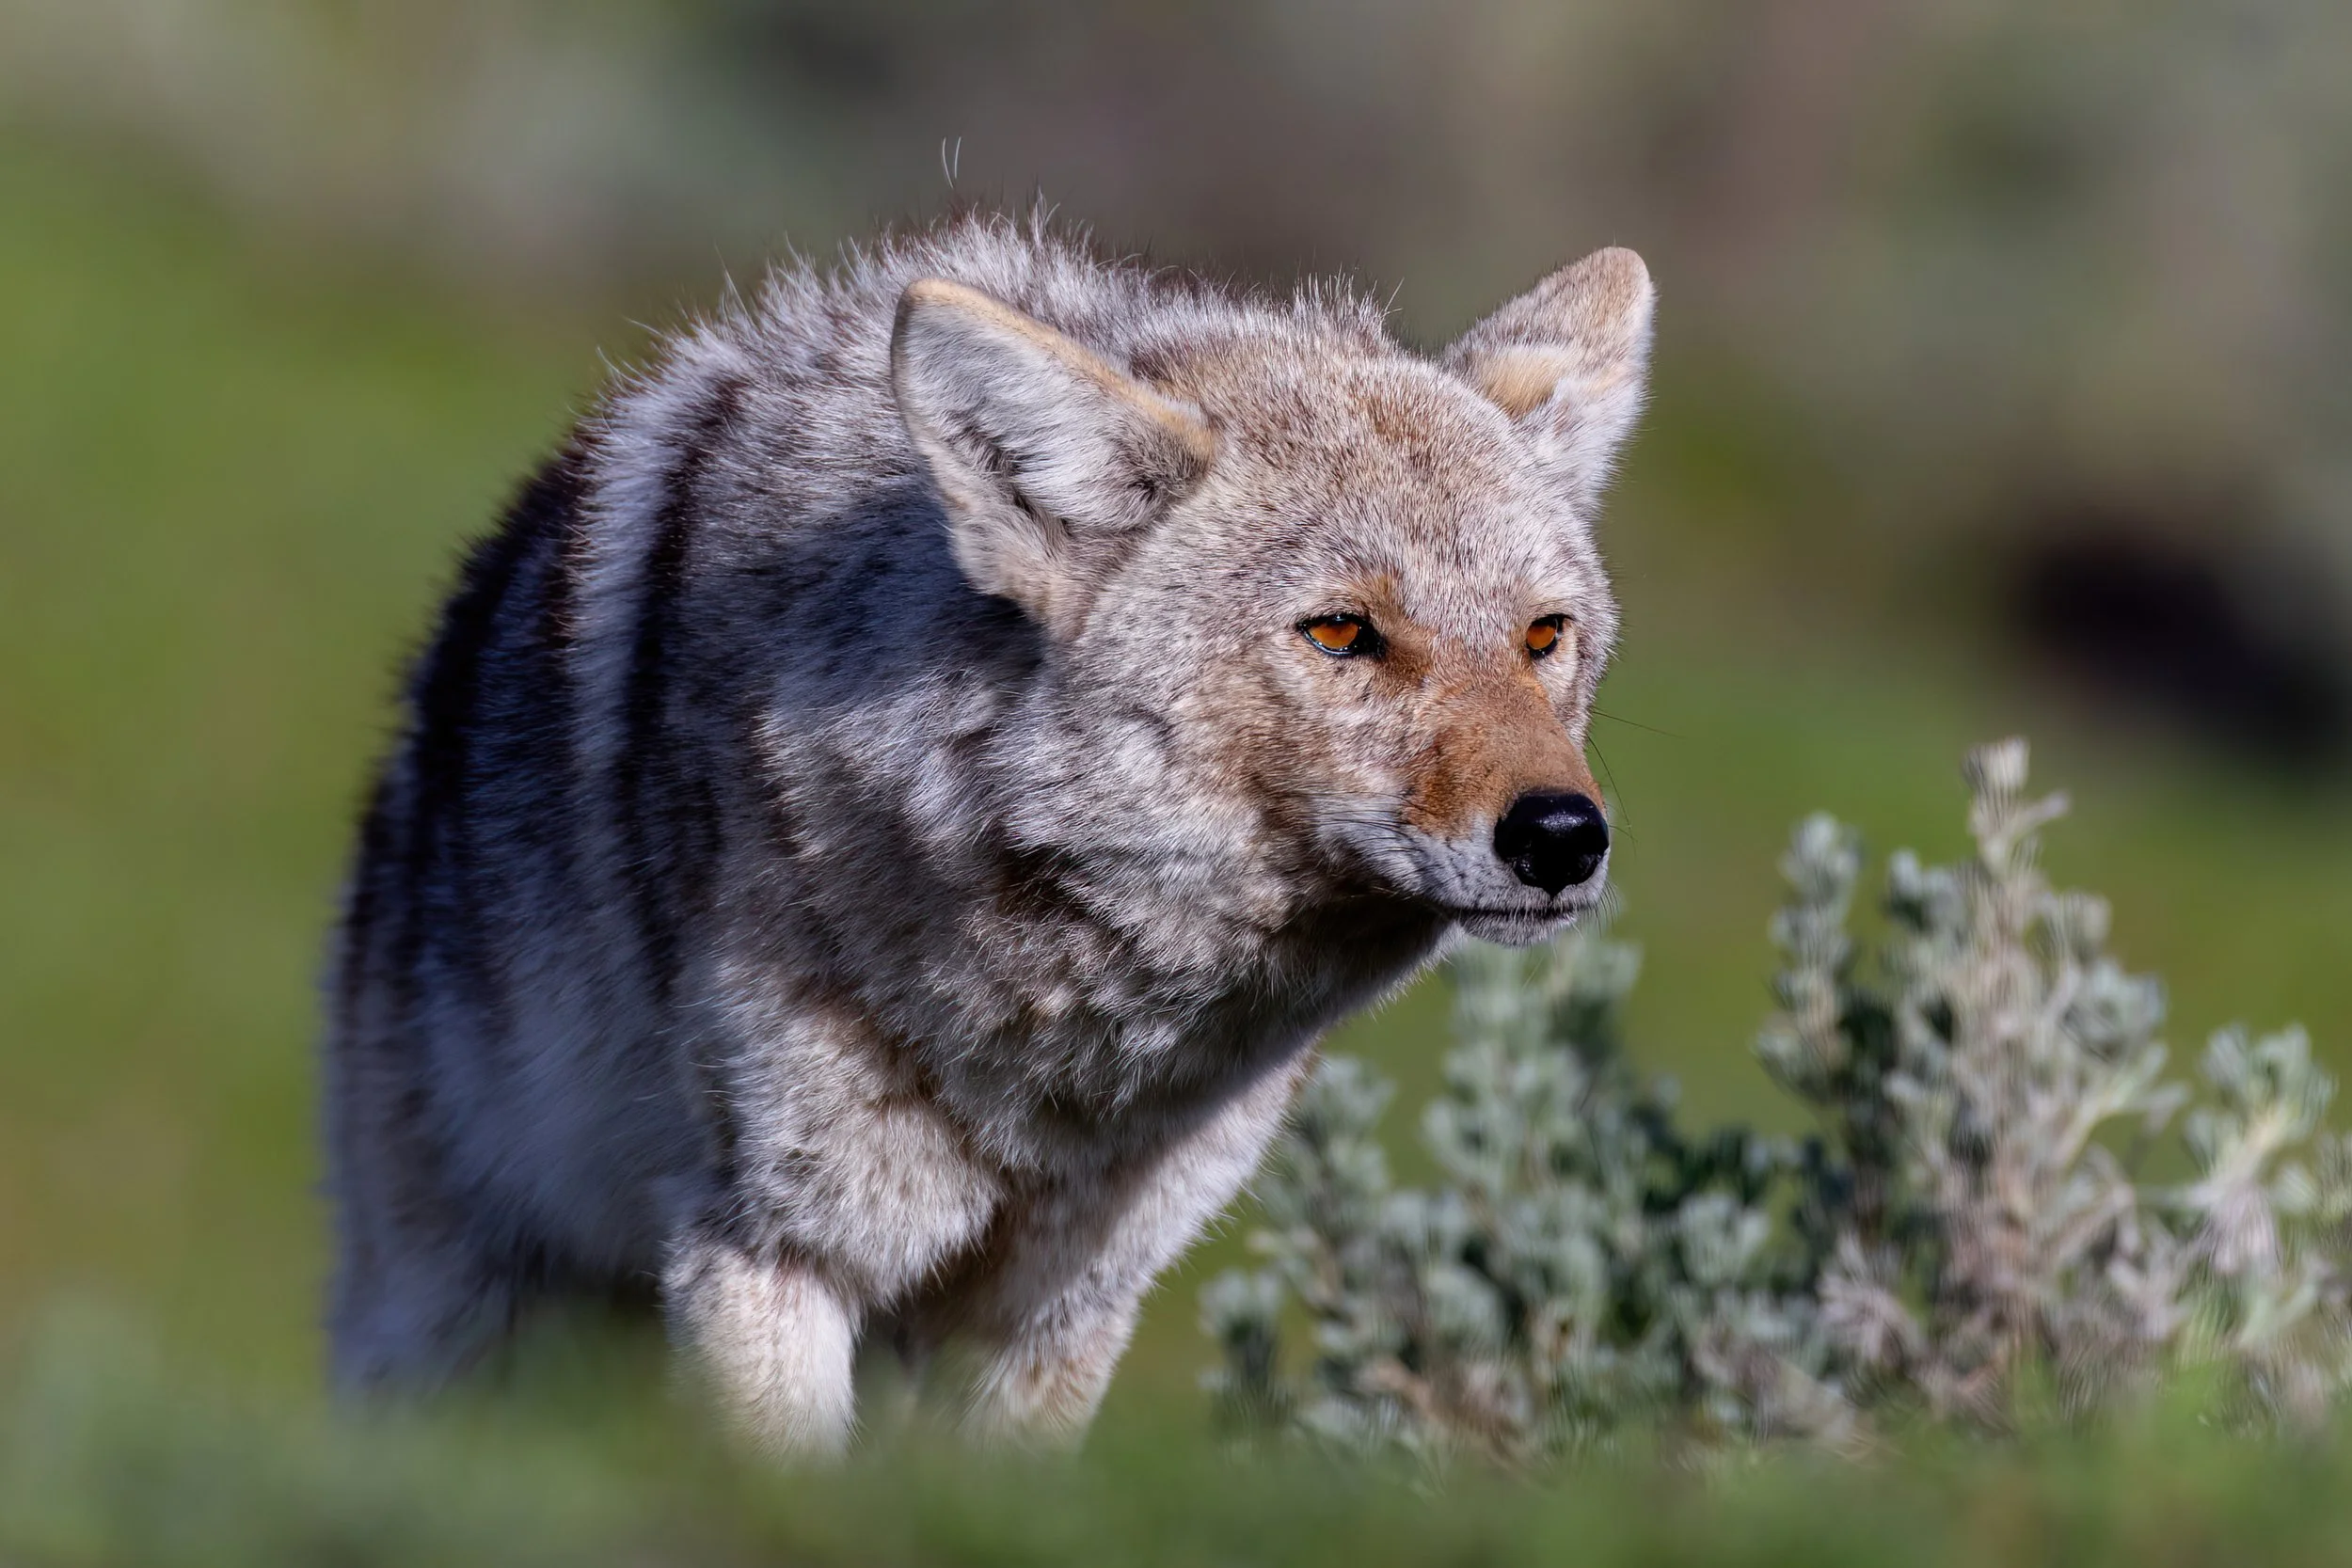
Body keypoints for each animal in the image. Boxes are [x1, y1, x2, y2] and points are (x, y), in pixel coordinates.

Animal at [326, 210, 1652, 1452]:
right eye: (1340, 633)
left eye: (1542, 637)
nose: (1561, 836)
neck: (1060, 1053)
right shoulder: (771, 1251)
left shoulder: (1058, 1312)